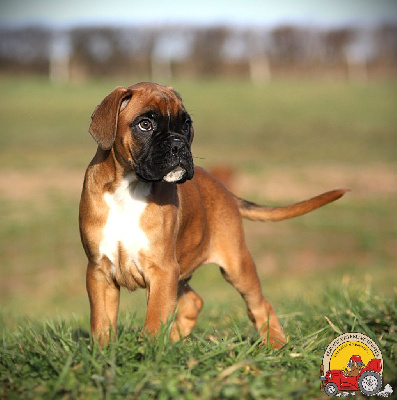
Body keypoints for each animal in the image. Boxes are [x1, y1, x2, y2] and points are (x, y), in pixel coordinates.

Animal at [79, 83, 344, 348]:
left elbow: (154, 320)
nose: (179, 145)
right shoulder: (99, 272)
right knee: (193, 303)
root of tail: (224, 188)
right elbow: (101, 323)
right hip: (181, 274)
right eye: (145, 124)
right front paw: (104, 353)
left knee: (260, 305)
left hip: (236, 266)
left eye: (186, 124)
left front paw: (150, 352)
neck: (129, 188)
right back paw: (176, 342)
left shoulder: (163, 271)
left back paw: (276, 345)